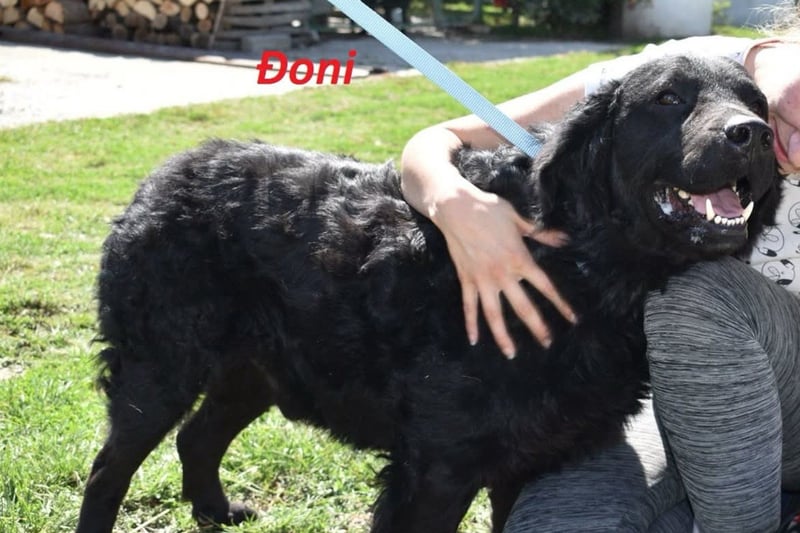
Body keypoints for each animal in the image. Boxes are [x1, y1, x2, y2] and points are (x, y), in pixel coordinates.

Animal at [76, 54, 781, 533]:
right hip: (158, 370)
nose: (752, 133)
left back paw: (216, 512)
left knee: (196, 438)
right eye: (668, 98)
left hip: (255, 371)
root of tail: (164, 174)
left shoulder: (521, 462)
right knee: (110, 469)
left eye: (756, 100)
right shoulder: (438, 467)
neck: (576, 258)